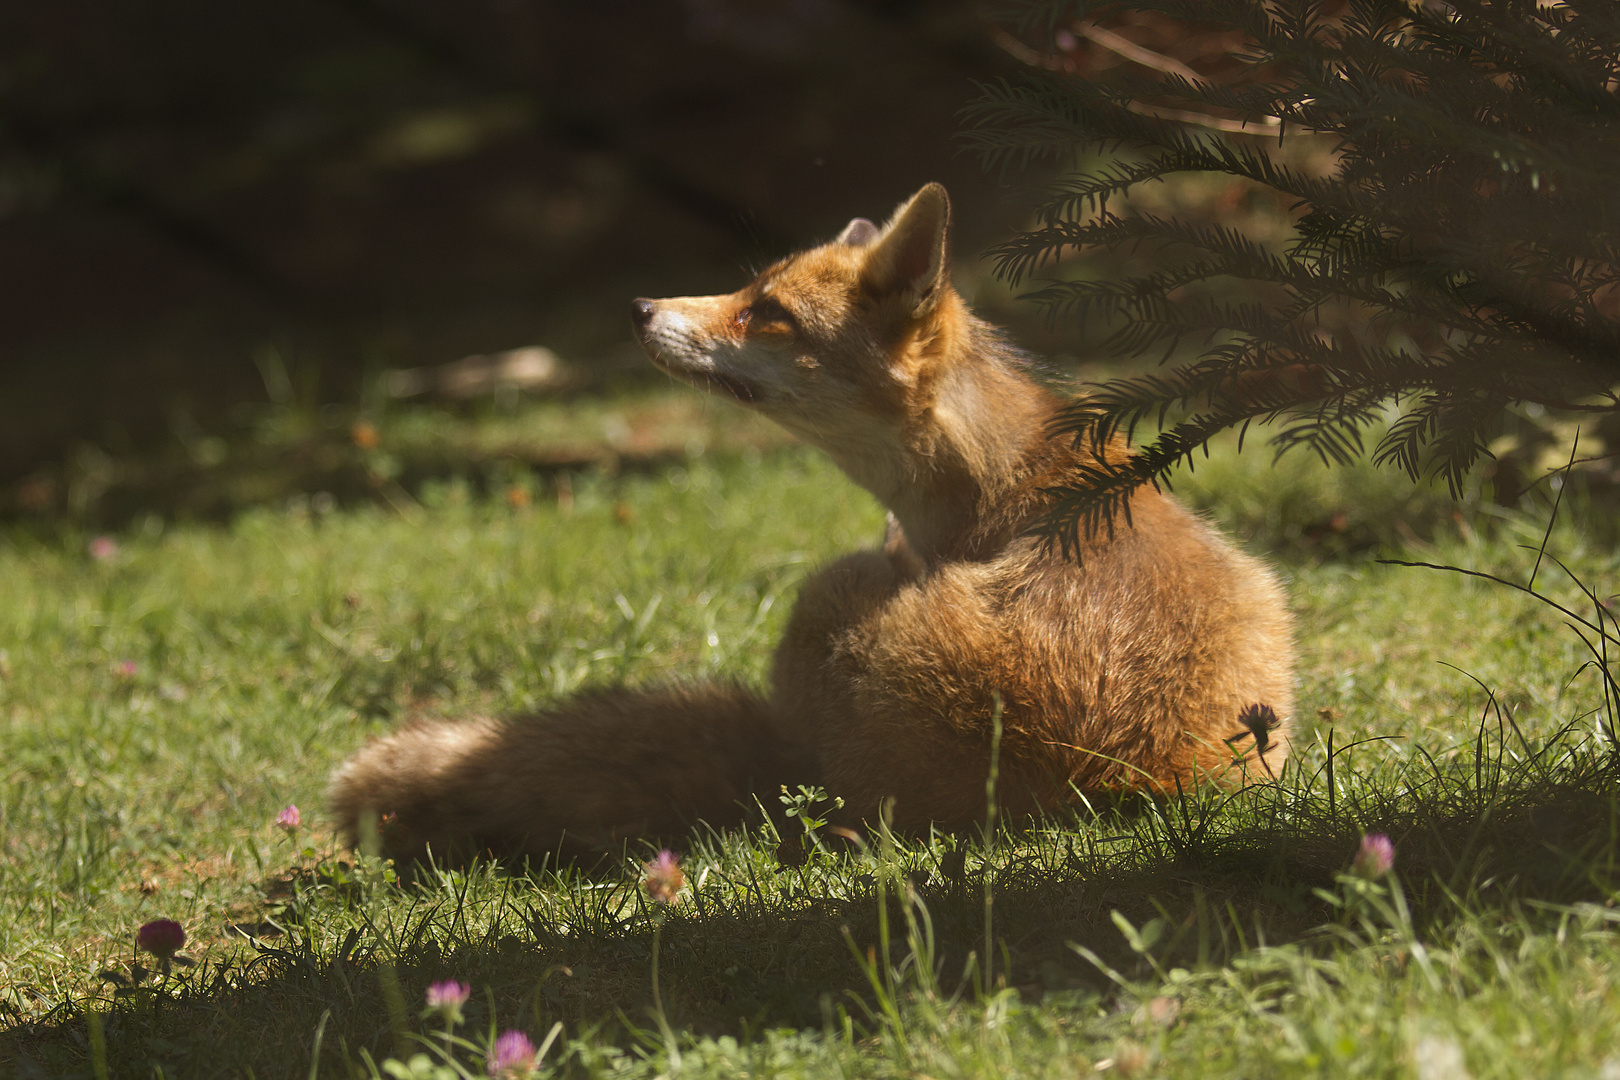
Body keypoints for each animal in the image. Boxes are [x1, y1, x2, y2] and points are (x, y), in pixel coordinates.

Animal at [332, 181, 1302, 867]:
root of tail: (1114, 779)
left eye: (768, 312)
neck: (1002, 489)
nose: (639, 310)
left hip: (824, 596)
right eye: (746, 286)